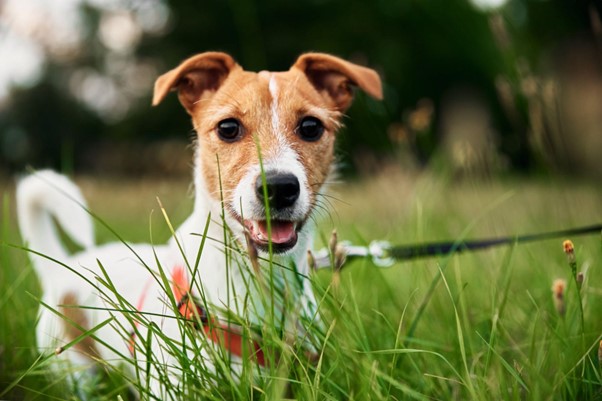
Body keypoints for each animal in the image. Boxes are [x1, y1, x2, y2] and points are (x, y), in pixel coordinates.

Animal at [16, 51, 382, 396]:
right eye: (228, 128)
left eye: (311, 127)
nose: (278, 187)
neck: (262, 279)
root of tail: (60, 266)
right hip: (74, 372)